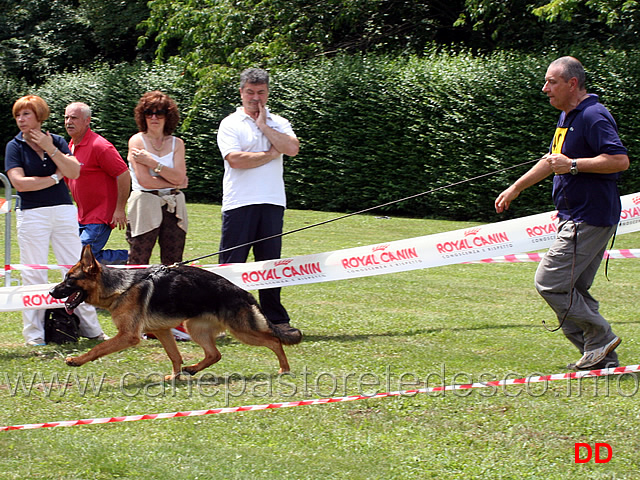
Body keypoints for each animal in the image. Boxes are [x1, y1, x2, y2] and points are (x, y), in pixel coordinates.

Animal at [48, 248, 304, 378]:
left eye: (69, 279)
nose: (50, 291)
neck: (121, 287)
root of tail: (242, 292)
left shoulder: (128, 336)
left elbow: (98, 348)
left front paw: (77, 360)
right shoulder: (162, 331)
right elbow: (175, 356)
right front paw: (176, 375)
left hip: (241, 331)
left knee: (274, 341)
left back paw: (284, 369)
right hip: (195, 327)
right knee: (215, 354)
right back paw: (192, 369)